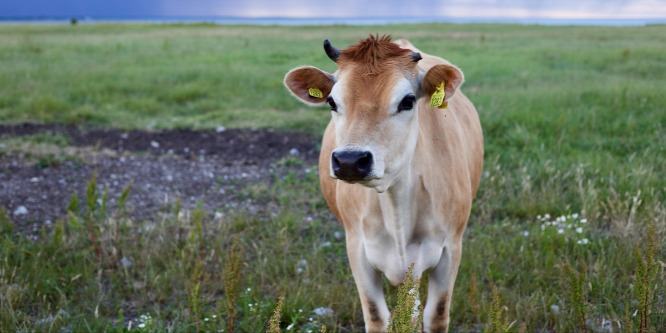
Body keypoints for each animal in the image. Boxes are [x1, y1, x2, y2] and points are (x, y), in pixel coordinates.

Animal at [282, 35, 482, 330]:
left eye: (408, 101)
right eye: (332, 102)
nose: (350, 160)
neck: (395, 202)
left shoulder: (450, 248)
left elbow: (436, 315)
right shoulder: (357, 248)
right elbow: (377, 316)